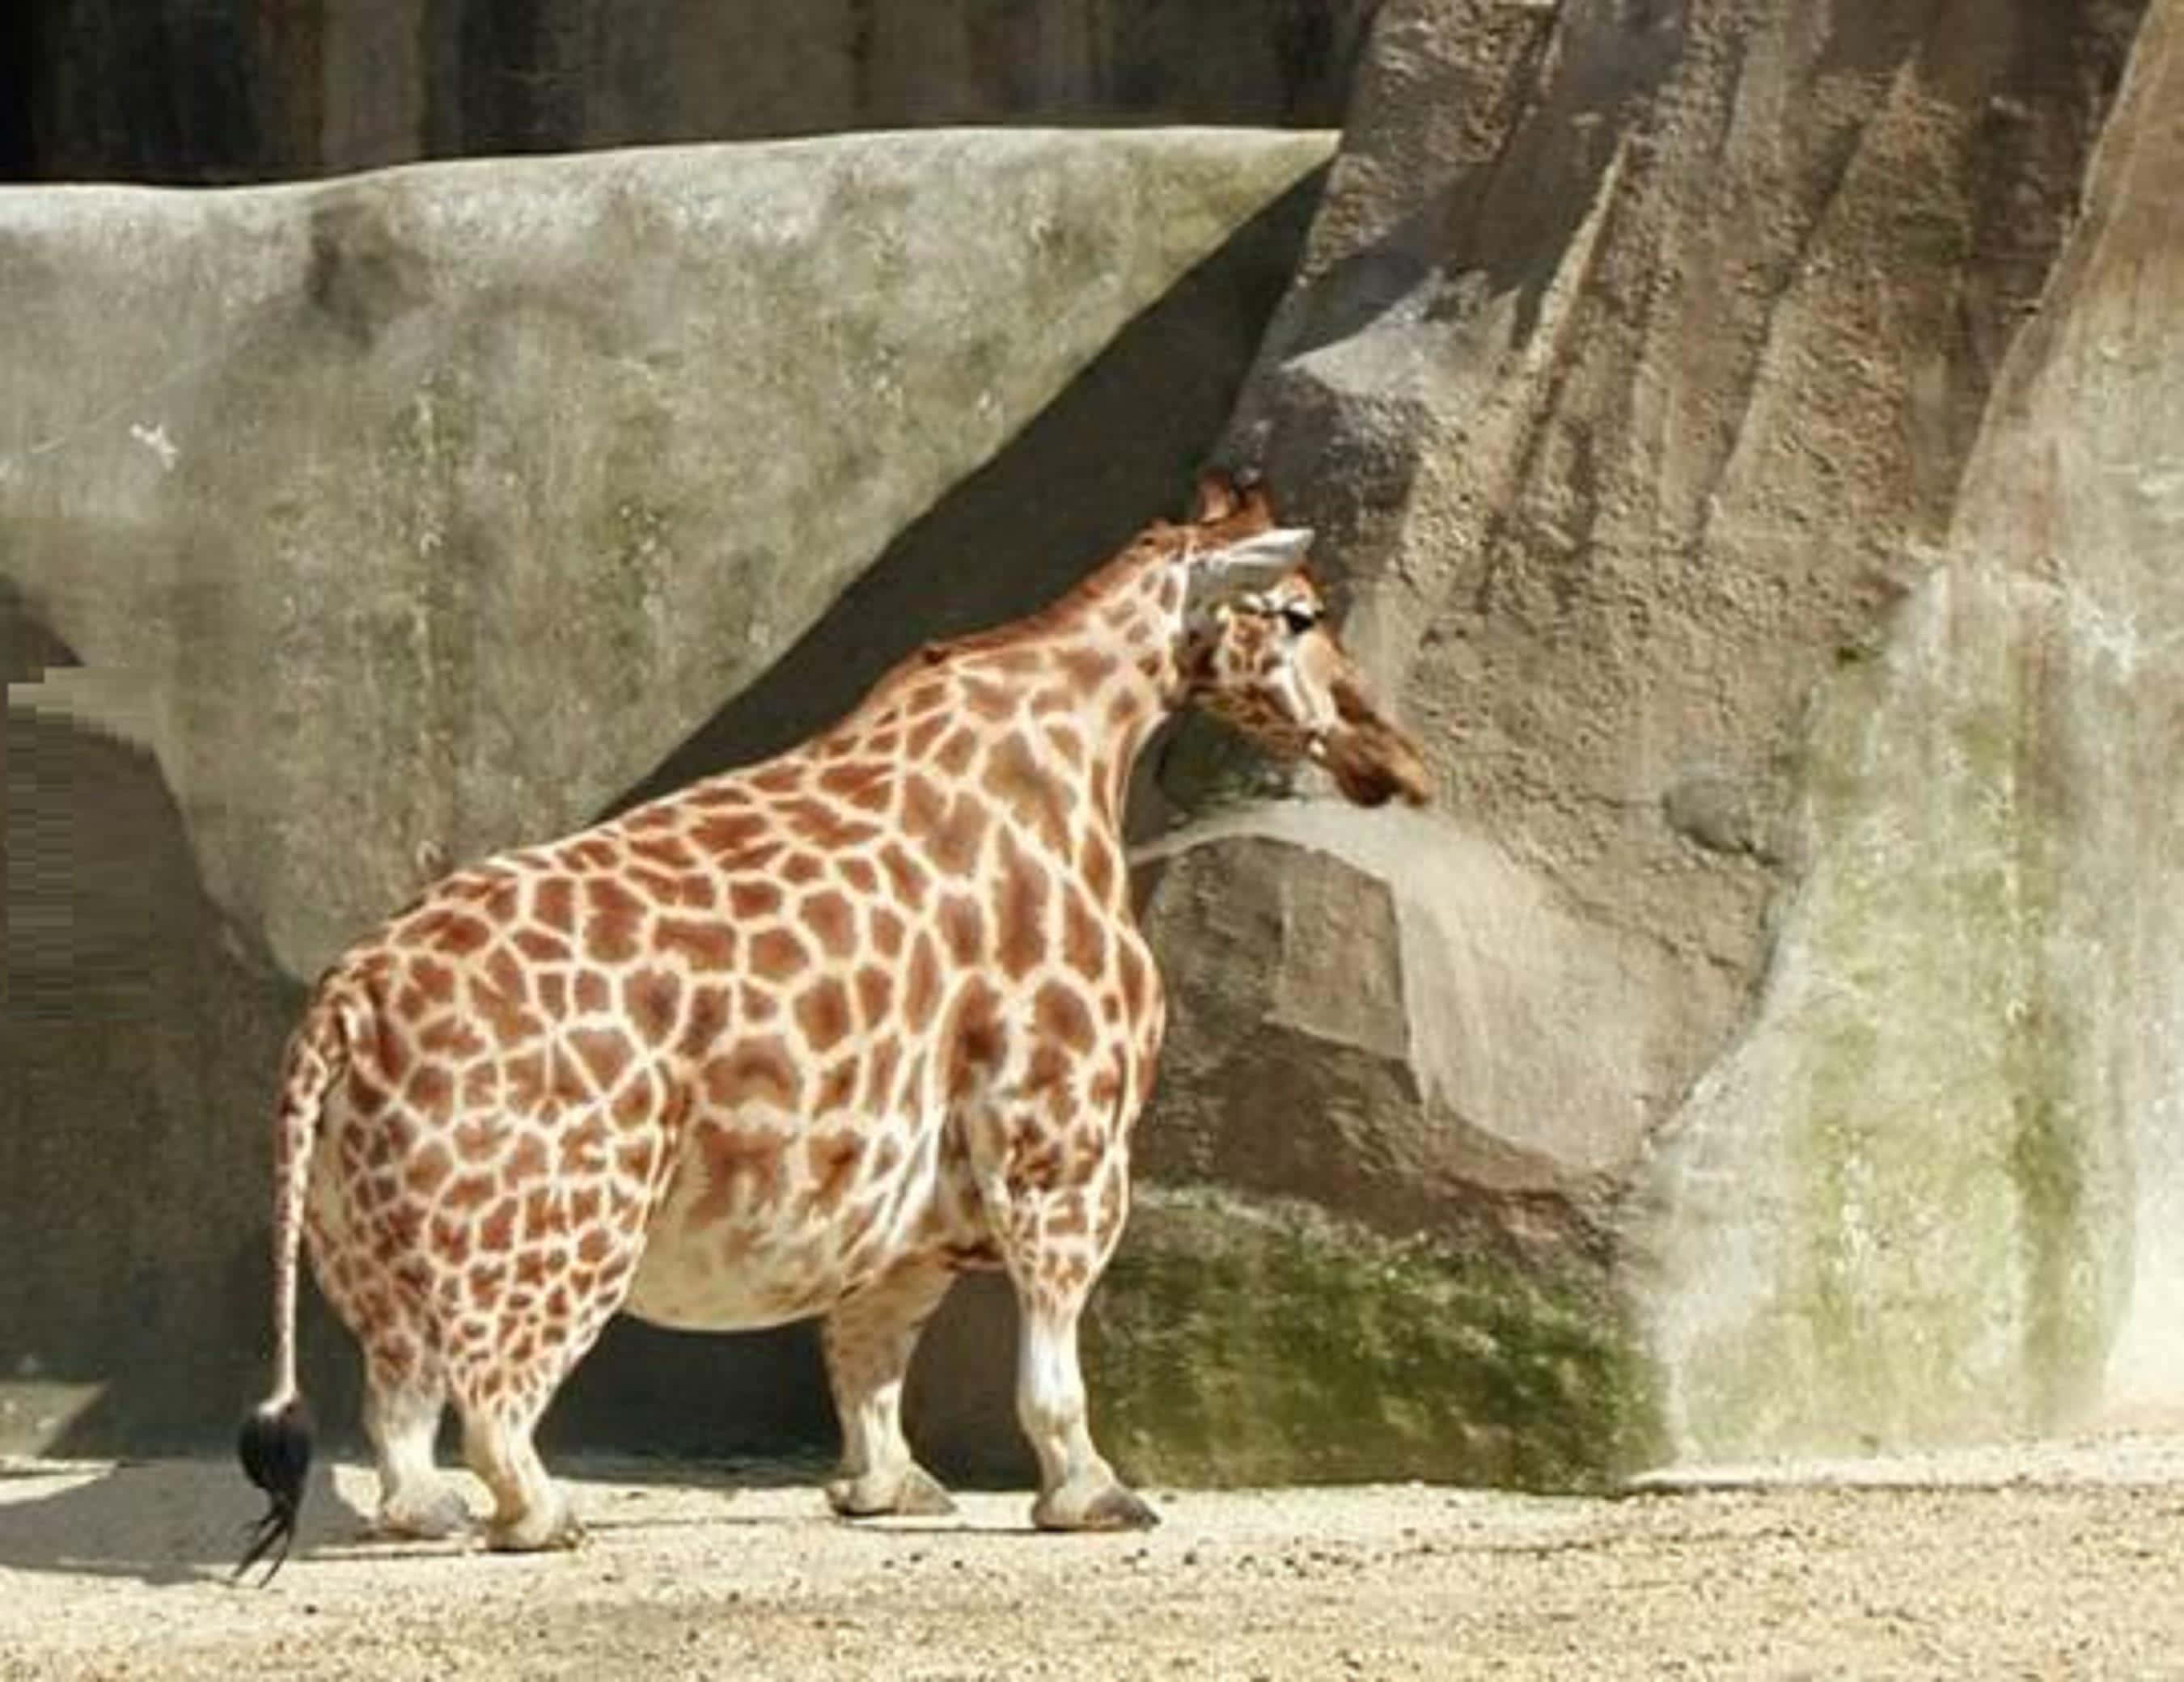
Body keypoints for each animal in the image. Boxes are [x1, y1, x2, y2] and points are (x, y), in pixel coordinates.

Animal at [235, 471, 1431, 1578]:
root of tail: (345, 1005)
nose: (1397, 758)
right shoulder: (1062, 1137)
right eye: (1302, 614)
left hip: (364, 1238)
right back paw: (544, 1517)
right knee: (492, 1399)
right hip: (563, 1223)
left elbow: (869, 1349)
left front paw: (886, 1489)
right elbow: (1047, 1367)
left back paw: (431, 1514)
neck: (1083, 741)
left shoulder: (918, 1188)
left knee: (398, 1407)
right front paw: (1093, 1496)